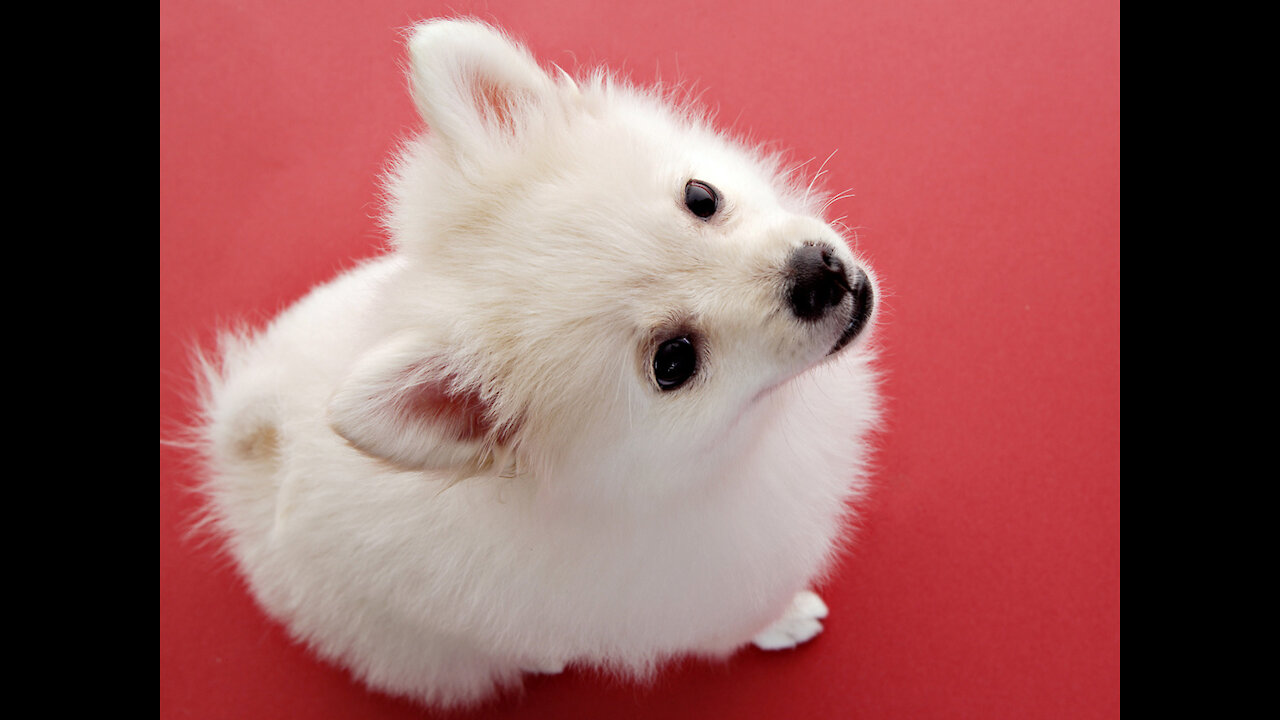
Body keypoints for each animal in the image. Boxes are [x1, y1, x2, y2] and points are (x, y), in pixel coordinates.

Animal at [197, 18, 880, 707]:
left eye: (700, 197)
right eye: (673, 361)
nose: (815, 275)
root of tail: (260, 452)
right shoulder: (703, 594)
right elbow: (745, 619)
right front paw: (787, 619)